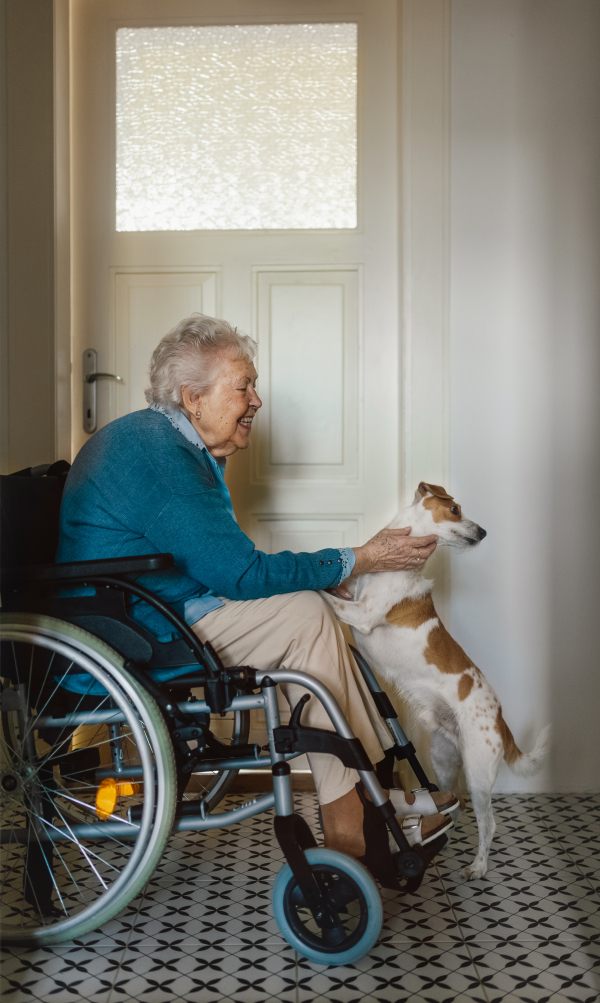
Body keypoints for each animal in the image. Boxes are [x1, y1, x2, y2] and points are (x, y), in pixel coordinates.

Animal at [327, 481, 553, 882]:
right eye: (456, 510)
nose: (484, 532)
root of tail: (502, 723)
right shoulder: (353, 599)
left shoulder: (363, 614)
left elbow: (319, 594)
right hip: (443, 761)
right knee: (453, 804)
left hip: (478, 771)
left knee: (488, 823)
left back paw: (478, 866)